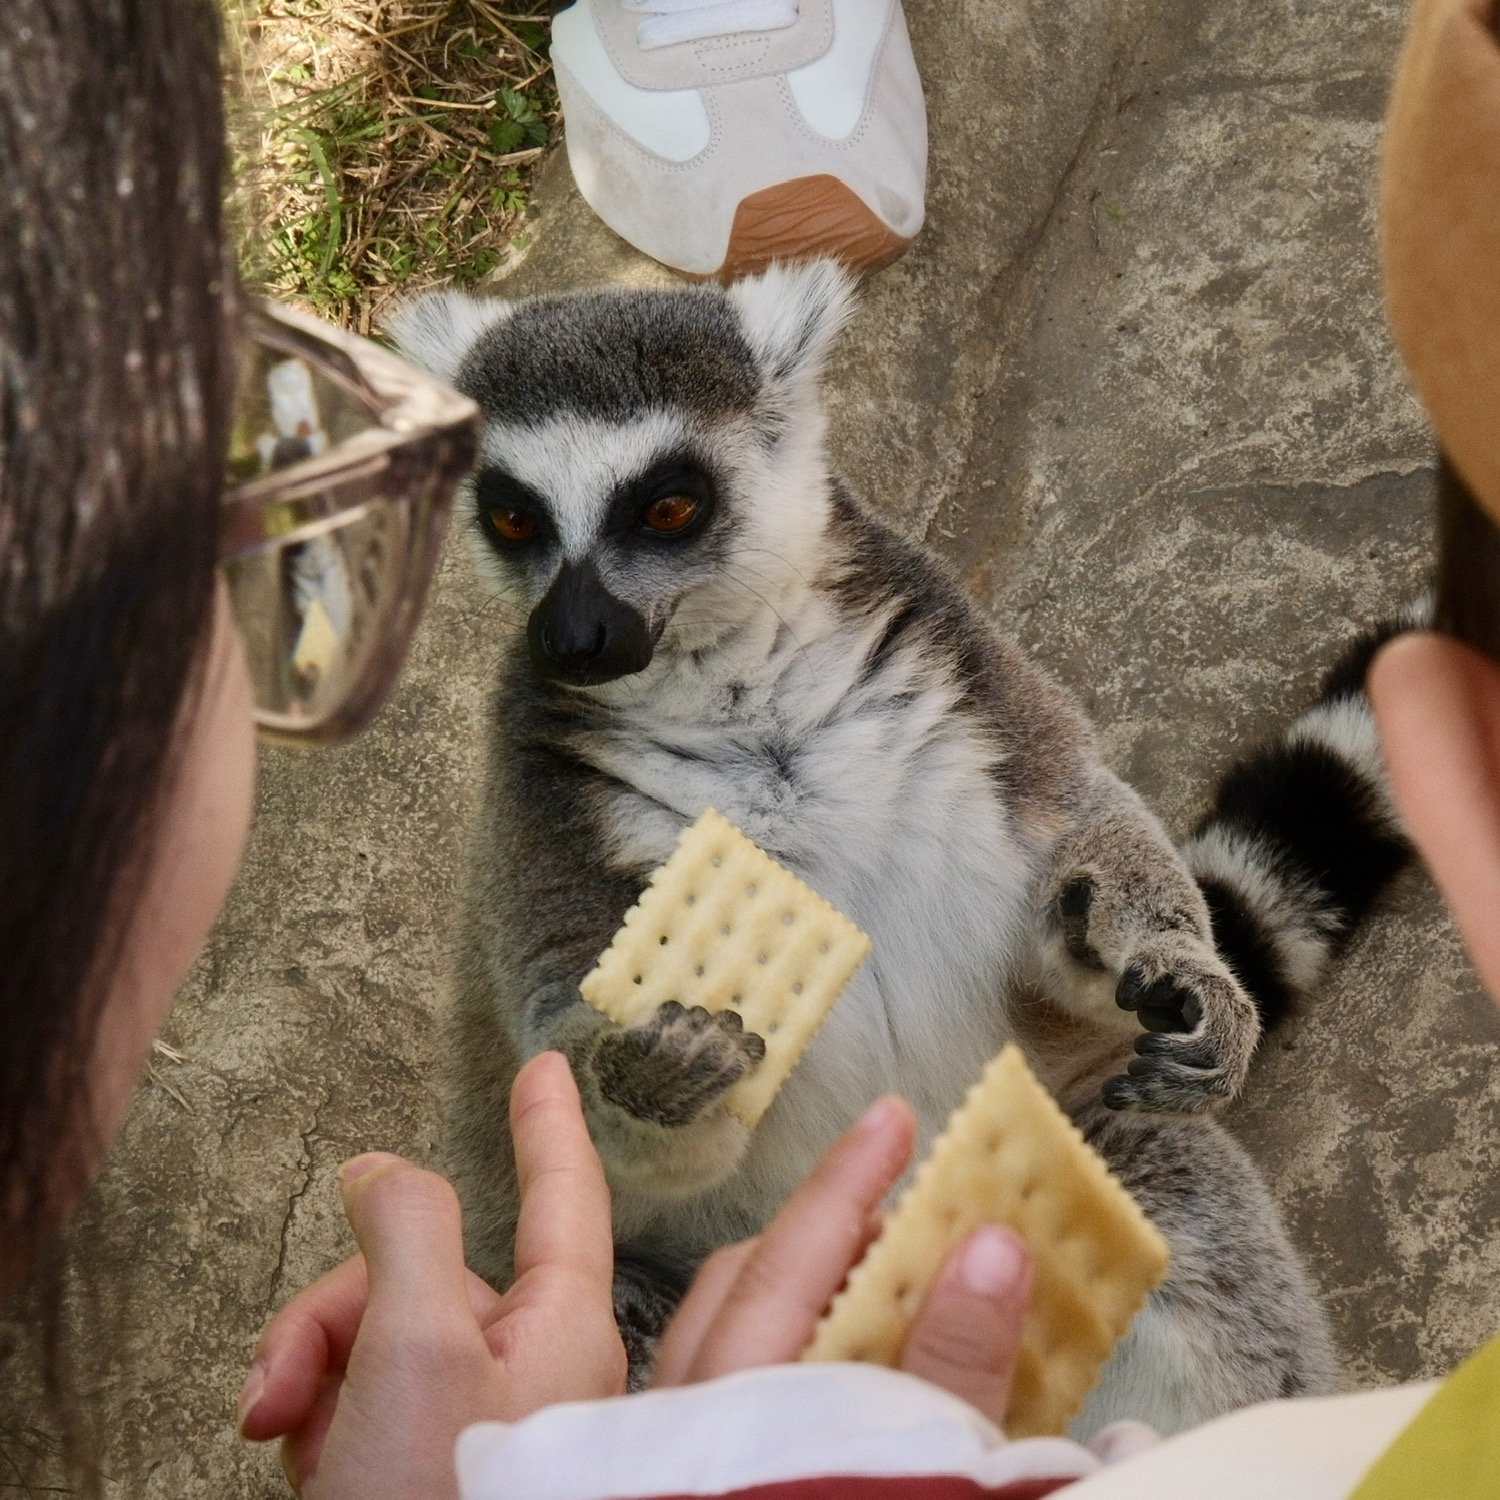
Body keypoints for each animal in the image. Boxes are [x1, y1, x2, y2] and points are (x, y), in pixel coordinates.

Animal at [389, 262, 1410, 1436]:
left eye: (669, 505)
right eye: (512, 516)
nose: (572, 640)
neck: (732, 687)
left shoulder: (967, 678)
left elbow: (1074, 830)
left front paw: (1168, 965)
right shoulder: (540, 805)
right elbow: (558, 1046)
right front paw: (653, 1068)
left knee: (1183, 1229)